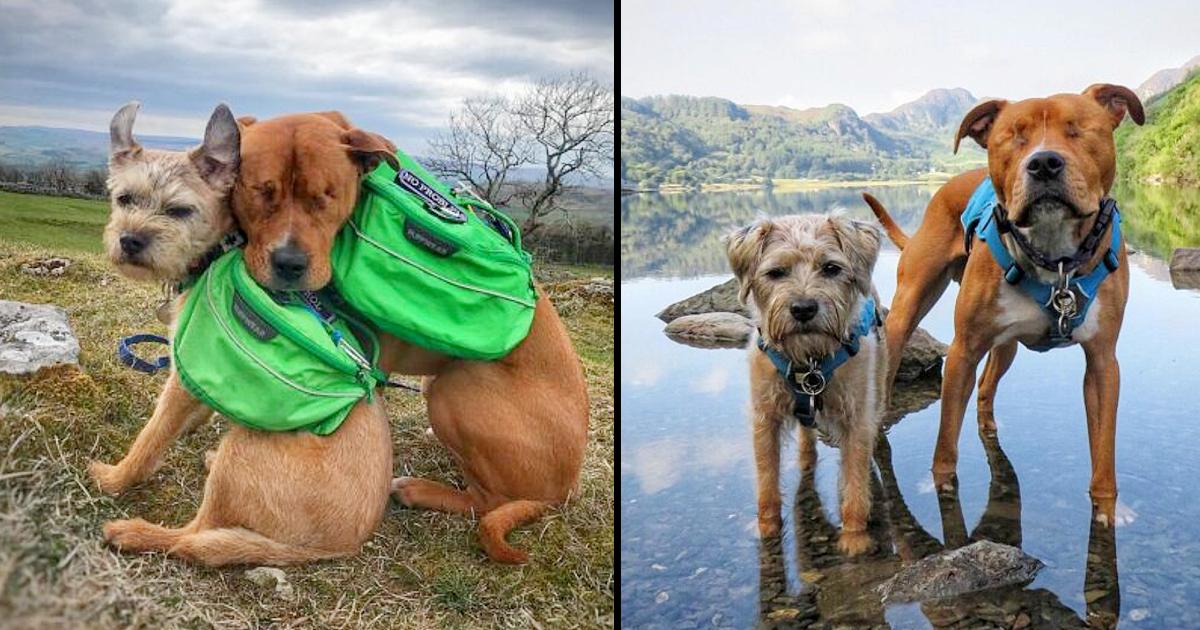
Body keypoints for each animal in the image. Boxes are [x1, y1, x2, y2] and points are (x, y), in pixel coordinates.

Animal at [94, 103, 393, 564]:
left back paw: (136, 532)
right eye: (124, 198)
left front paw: (115, 478)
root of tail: (336, 547)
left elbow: (150, 438)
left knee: (195, 539)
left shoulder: (184, 376)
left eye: (180, 210)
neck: (220, 249)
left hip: (244, 449)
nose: (130, 240)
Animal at [229, 111, 590, 559]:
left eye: (326, 196)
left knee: (488, 501)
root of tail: (565, 490)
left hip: (457, 386)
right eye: (261, 192)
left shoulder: (367, 363)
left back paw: (419, 490)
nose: (290, 264)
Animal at [724, 212, 888, 554]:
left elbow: (855, 480)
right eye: (776, 272)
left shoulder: (857, 419)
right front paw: (766, 530)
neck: (809, 360)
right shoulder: (764, 419)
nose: (803, 308)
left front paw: (854, 538)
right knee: (806, 438)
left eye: (831, 268)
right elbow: (767, 481)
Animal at [864, 85, 1142, 523]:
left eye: (1078, 129)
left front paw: (1108, 509)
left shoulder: (1102, 362)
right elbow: (945, 444)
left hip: (1005, 345)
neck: (1055, 261)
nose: (1044, 163)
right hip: (907, 310)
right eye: (1013, 137)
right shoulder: (962, 352)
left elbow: (1104, 451)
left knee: (986, 386)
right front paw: (941, 488)